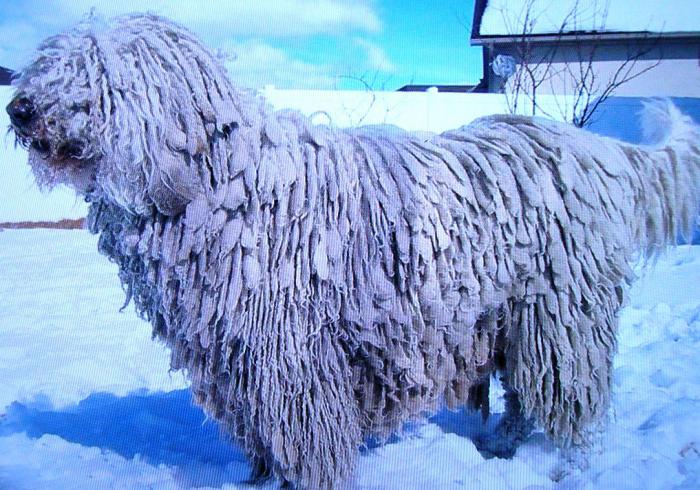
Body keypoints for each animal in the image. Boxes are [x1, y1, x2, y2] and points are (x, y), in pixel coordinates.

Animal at [6, 13, 700, 488]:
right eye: (48, 61)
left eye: (96, 69)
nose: (18, 107)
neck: (220, 188)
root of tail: (596, 151)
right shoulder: (235, 361)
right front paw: (258, 479)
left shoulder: (292, 358)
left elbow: (307, 438)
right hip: (509, 318)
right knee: (527, 398)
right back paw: (502, 448)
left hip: (559, 316)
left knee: (569, 397)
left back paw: (562, 460)